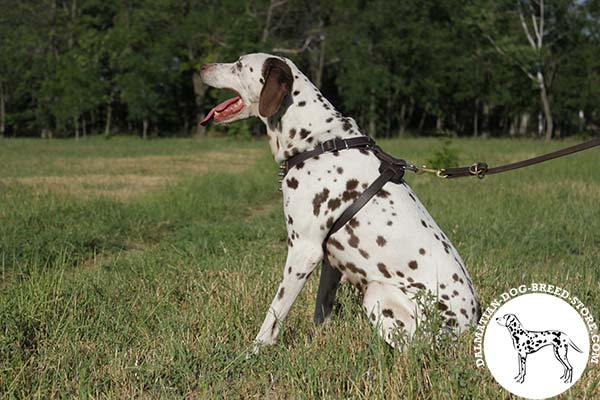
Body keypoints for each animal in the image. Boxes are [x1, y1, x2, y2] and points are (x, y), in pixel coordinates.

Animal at [199, 52, 480, 354]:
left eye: (239, 64)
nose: (202, 67)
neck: (318, 141)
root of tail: (467, 328)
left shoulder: (304, 250)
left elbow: (274, 314)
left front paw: (252, 353)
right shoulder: (329, 261)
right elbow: (321, 312)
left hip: (377, 292)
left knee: (412, 350)